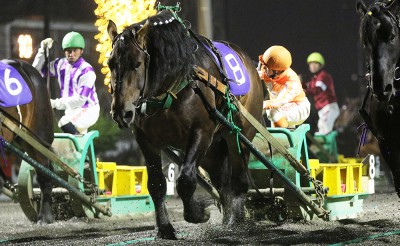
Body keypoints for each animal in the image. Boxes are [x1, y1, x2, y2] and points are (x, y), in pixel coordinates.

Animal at [106, 10, 264, 239]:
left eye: (137, 63)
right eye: (111, 63)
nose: (121, 112)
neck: (170, 89)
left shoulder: (201, 131)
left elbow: (186, 179)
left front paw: (198, 214)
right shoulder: (146, 139)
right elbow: (156, 183)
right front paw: (164, 227)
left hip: (239, 136)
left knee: (239, 181)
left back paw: (236, 221)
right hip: (213, 152)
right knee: (223, 183)